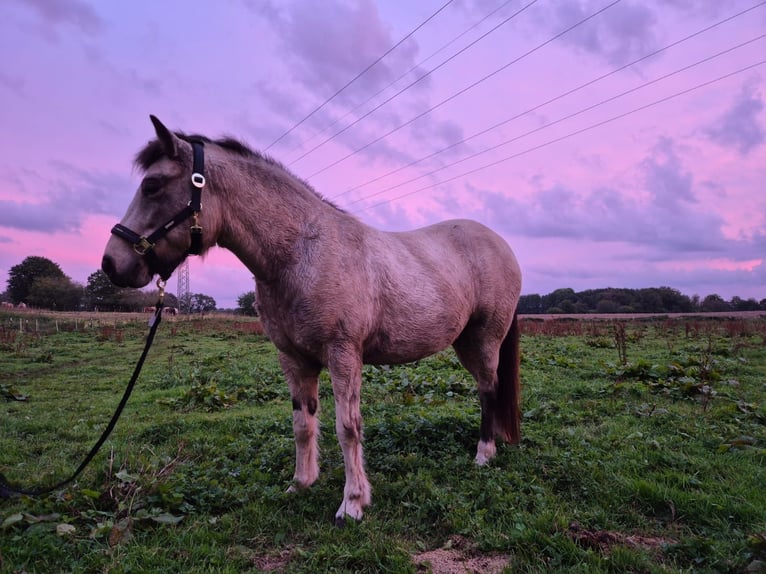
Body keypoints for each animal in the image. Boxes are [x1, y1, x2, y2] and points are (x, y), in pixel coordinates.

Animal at [100, 116, 520, 528]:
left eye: (152, 185)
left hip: (484, 340)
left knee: (488, 390)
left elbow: (347, 427)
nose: (111, 263)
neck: (302, 253)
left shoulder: (343, 355)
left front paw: (352, 503)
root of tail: (501, 244)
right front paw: (301, 483)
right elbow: (302, 423)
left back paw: (484, 454)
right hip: (465, 341)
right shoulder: (293, 359)